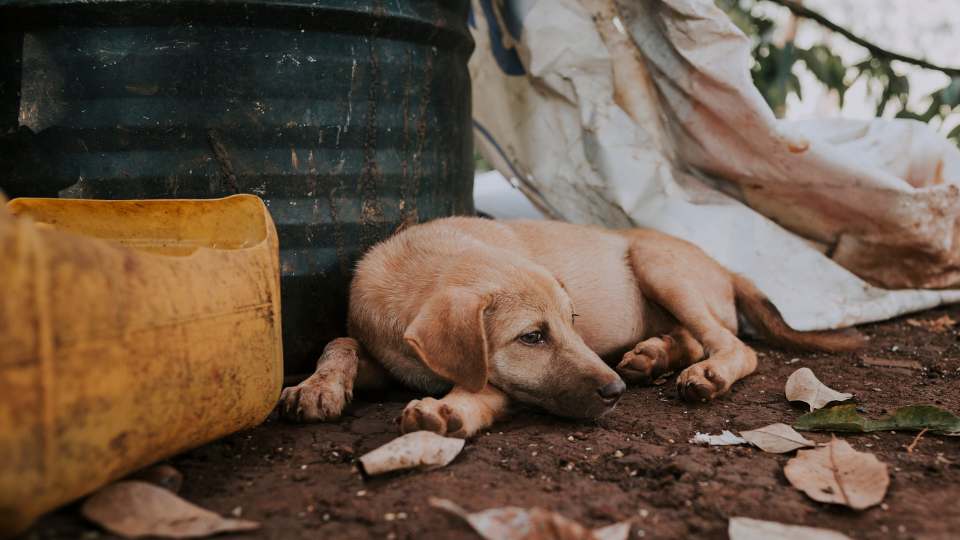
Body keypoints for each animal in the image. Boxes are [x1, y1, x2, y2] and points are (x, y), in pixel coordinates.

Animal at [278, 217, 864, 436]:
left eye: (573, 322)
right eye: (533, 336)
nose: (615, 392)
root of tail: (724, 267)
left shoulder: (502, 384)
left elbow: (482, 388)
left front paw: (449, 409)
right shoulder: (386, 353)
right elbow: (340, 339)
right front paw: (318, 386)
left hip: (658, 263)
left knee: (734, 346)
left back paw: (704, 373)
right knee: (694, 337)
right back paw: (652, 355)